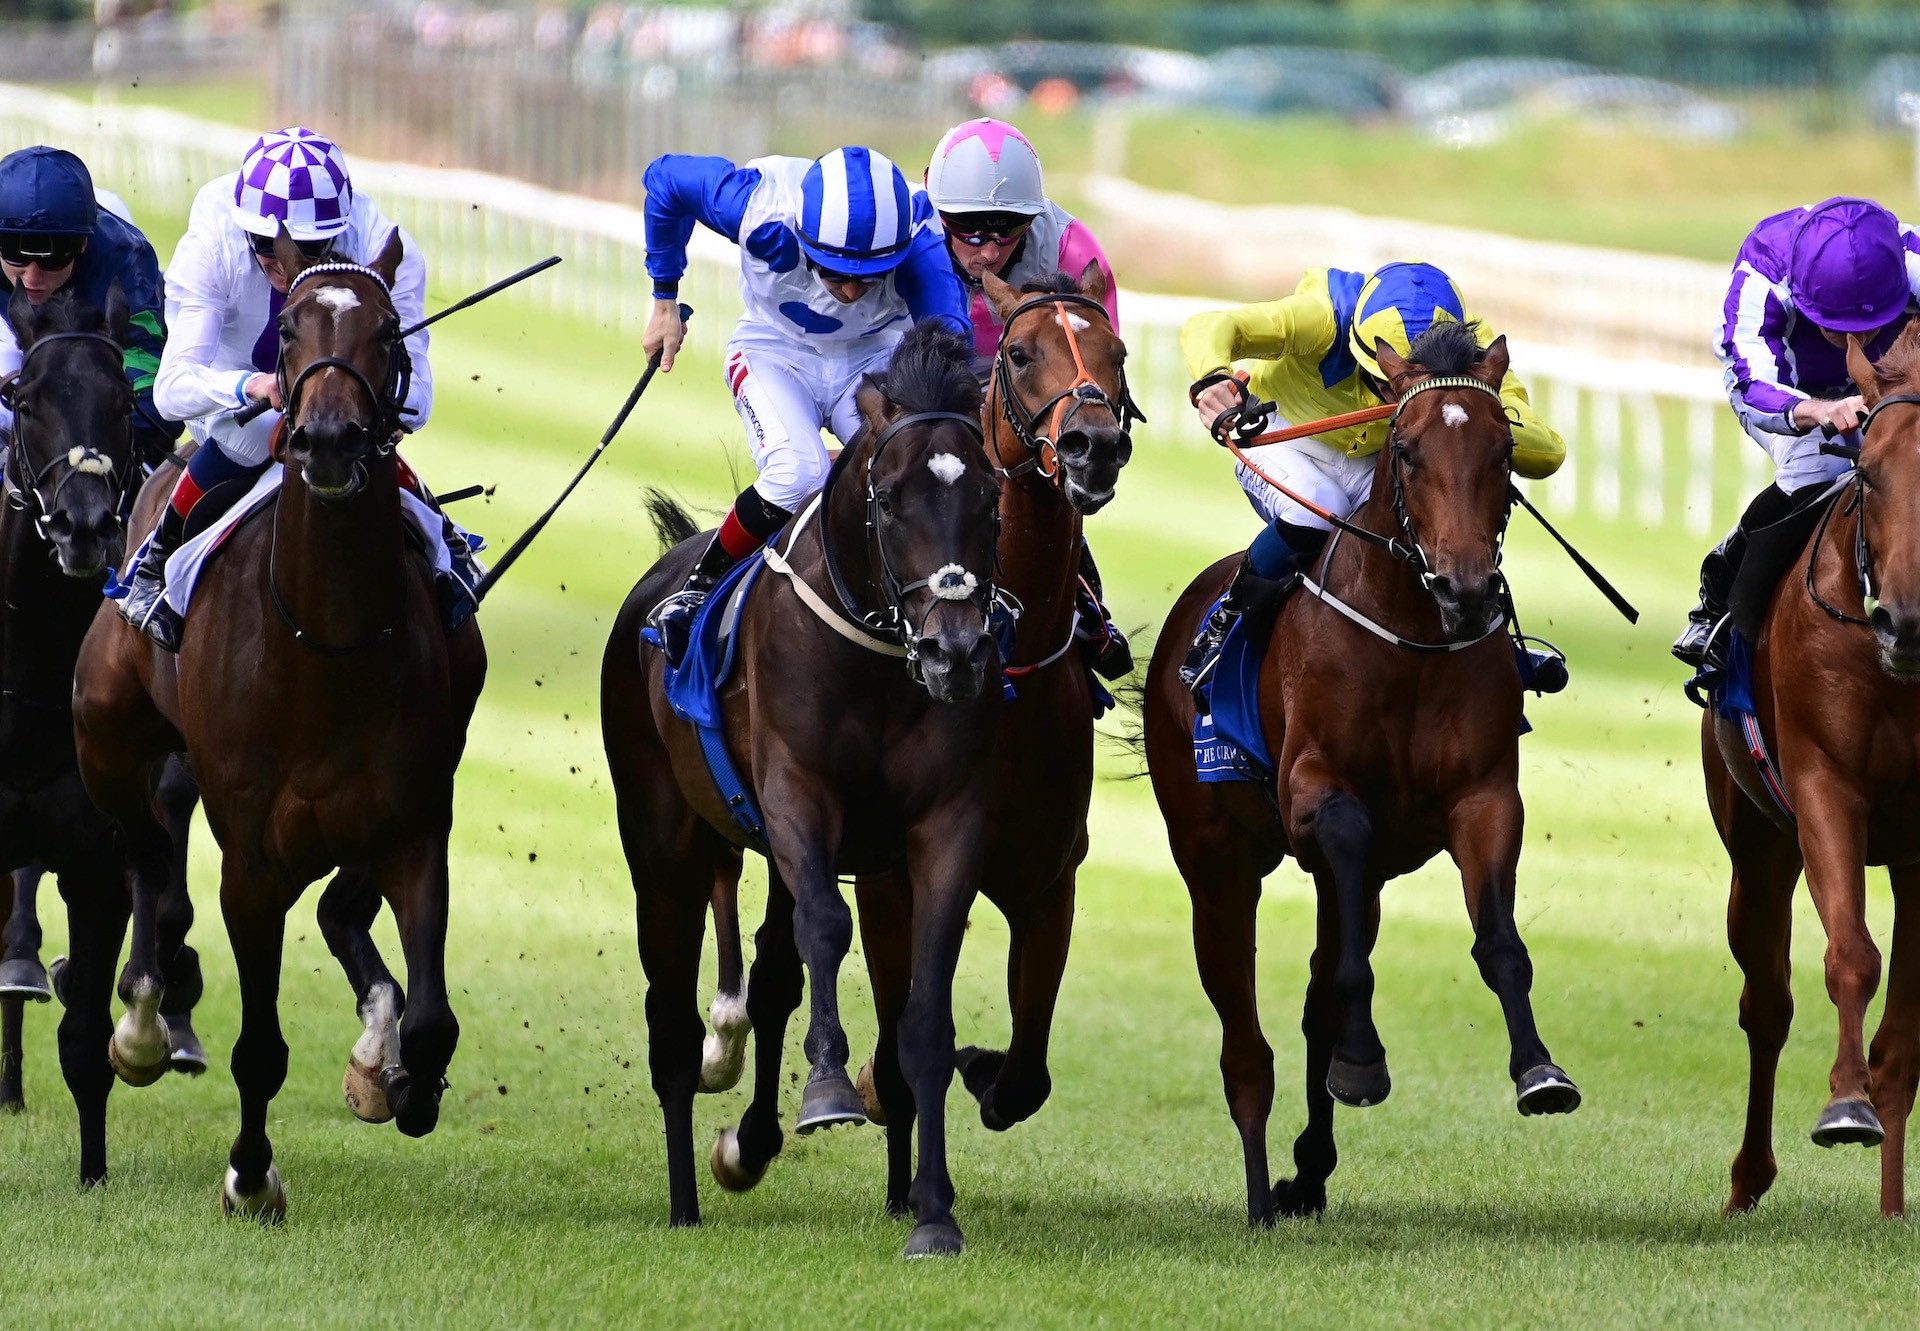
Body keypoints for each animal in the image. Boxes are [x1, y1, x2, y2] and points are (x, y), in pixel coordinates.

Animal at [72, 233, 487, 1206]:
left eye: (388, 330)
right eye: (291, 329)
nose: (329, 440)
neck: (327, 640)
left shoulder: (414, 825)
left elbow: (431, 1018)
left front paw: (401, 1083)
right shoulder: (253, 862)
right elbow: (258, 1045)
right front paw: (251, 1177)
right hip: (103, 729)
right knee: (147, 851)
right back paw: (142, 1014)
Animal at [602, 322, 1006, 1259]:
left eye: (991, 498)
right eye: (890, 500)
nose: (956, 652)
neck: (880, 656)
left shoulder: (944, 825)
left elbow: (923, 1020)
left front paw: (933, 1213)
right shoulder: (796, 794)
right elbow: (827, 925)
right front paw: (824, 1088)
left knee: (778, 973)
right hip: (662, 848)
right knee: (673, 1025)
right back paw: (685, 1199)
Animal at [1136, 322, 1574, 1221]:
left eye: (1503, 446)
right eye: (1406, 449)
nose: (1467, 586)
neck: (1412, 636)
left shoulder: (1484, 798)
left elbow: (1498, 943)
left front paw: (1538, 1069)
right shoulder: (1317, 796)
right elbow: (1342, 878)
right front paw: (1365, 1059)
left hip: (1356, 883)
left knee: (1314, 997)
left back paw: (1307, 1168)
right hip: (1215, 863)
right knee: (1244, 1035)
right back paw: (1261, 1194)